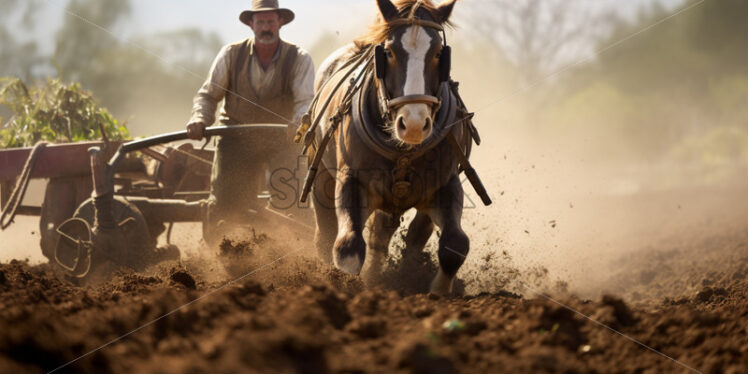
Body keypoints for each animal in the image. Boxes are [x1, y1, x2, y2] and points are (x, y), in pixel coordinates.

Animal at [298, 0, 490, 294]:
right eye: (388, 52)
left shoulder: (445, 183)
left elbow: (455, 245)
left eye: (438, 53)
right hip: (320, 176)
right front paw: (349, 288)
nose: (413, 124)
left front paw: (436, 292)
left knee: (405, 237)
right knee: (327, 235)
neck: (403, 151)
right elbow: (348, 246)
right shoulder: (351, 180)